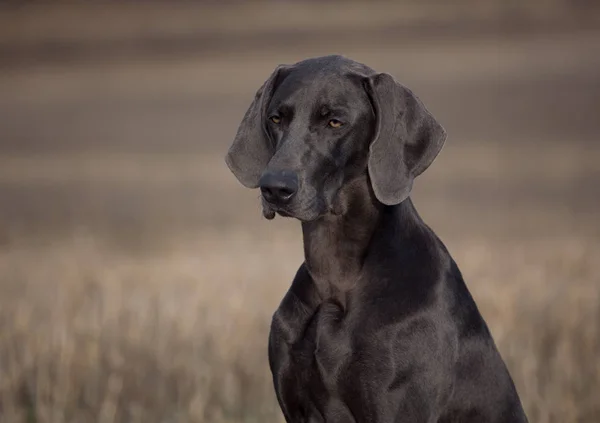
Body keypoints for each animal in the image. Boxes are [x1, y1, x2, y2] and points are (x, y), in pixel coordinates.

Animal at [224, 56, 524, 423]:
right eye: (276, 118)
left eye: (335, 122)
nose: (274, 188)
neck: (334, 277)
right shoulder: (296, 407)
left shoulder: (395, 406)